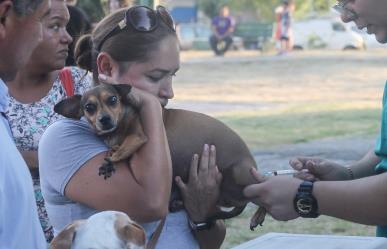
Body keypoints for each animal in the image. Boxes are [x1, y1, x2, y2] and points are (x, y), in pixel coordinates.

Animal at [54, 83, 266, 230]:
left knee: (262, 190)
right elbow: (115, 148)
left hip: (240, 175)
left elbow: (122, 149)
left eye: (113, 99)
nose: (104, 119)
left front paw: (111, 160)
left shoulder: (138, 137)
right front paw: (111, 153)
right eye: (89, 107)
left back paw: (258, 214)